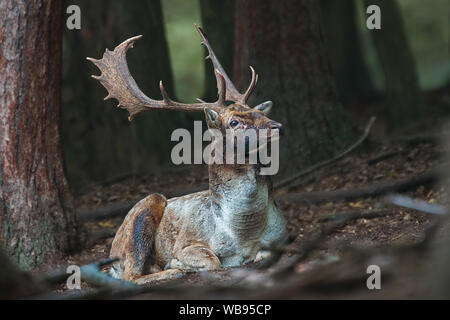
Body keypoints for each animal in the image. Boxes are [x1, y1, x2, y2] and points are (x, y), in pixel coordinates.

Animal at [86, 25, 286, 284]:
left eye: (258, 112)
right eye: (234, 122)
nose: (277, 126)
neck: (244, 233)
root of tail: (112, 257)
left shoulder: (282, 235)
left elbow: (265, 252)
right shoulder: (187, 242)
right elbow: (212, 261)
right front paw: (180, 263)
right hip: (141, 217)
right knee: (131, 275)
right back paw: (173, 270)